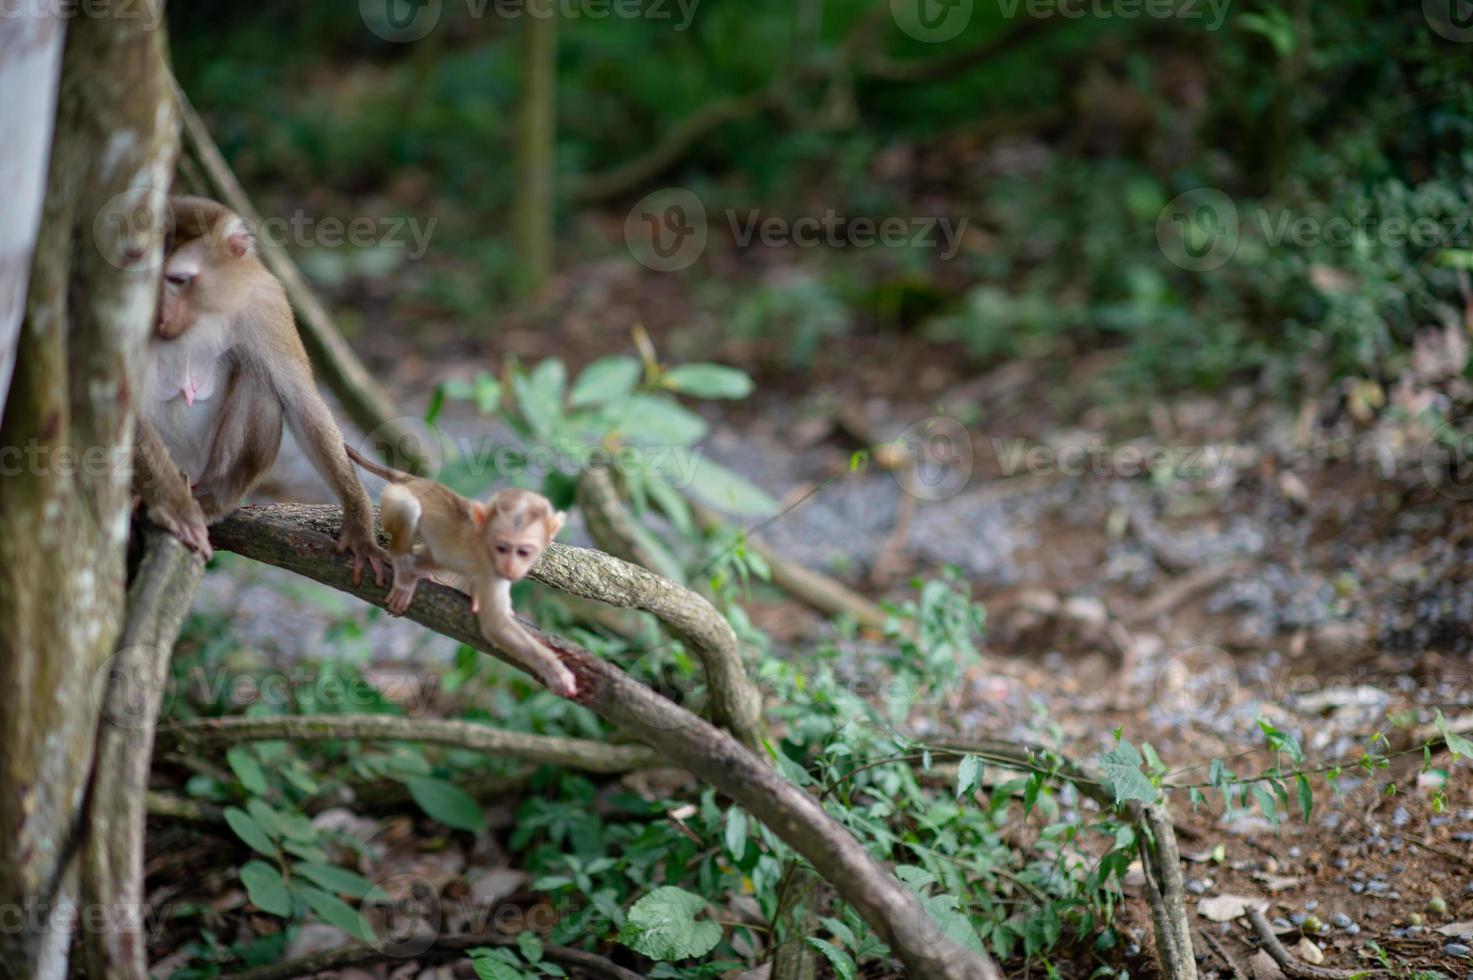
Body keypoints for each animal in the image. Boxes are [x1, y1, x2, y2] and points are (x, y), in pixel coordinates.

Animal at [343, 448, 574, 698]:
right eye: (502, 548)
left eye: (523, 552)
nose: (511, 567)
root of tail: (413, 480)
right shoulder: (491, 568)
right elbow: (495, 625)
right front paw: (554, 669)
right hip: (394, 497)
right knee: (409, 510)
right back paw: (403, 570)